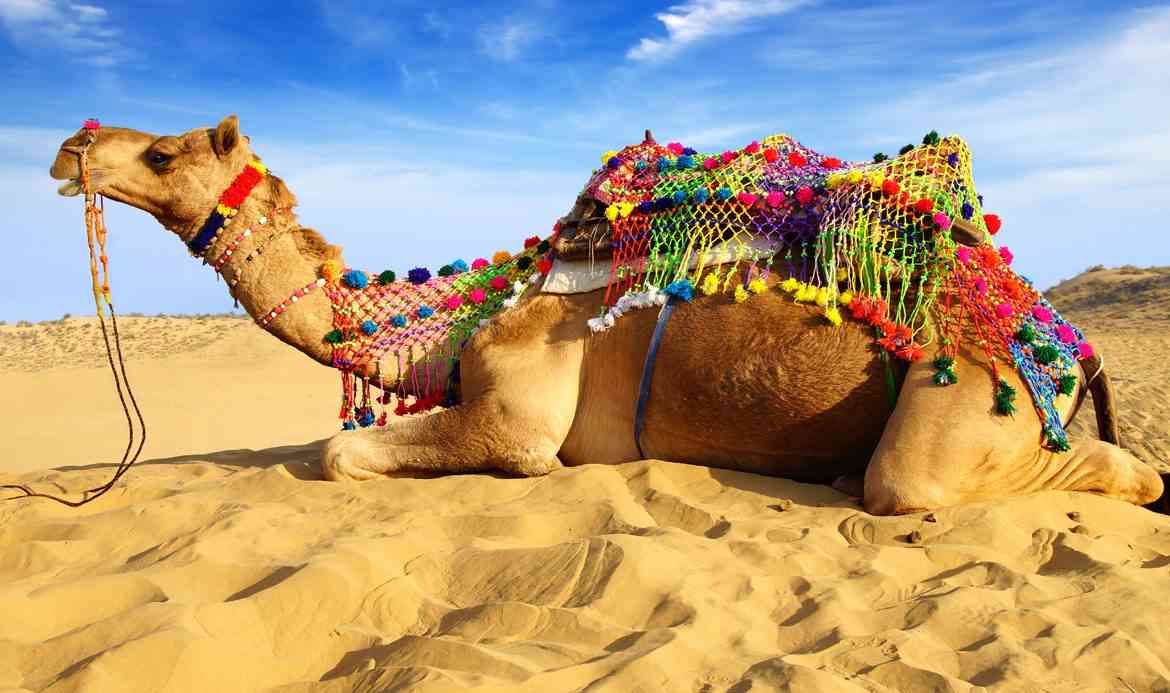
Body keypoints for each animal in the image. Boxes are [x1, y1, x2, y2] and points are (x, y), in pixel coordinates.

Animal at [48, 115, 1166, 515]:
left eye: (164, 154)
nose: (70, 145)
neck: (453, 323)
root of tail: (1061, 333)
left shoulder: (518, 411)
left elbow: (340, 451)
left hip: (982, 385)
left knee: (1018, 476)